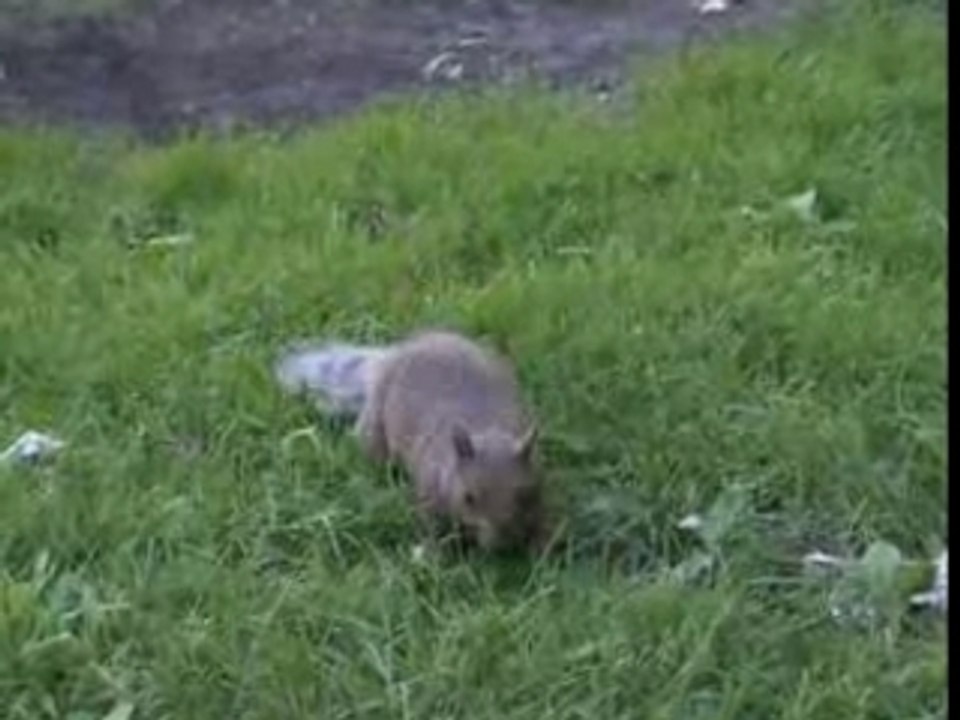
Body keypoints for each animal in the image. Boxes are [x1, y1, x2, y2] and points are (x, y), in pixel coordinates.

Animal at [275, 330, 547, 553]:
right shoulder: (429, 491)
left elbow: (544, 522)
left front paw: (541, 550)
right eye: (468, 497)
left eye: (526, 495)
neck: (489, 431)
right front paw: (432, 556)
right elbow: (431, 527)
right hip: (375, 424)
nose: (502, 544)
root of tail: (393, 355)